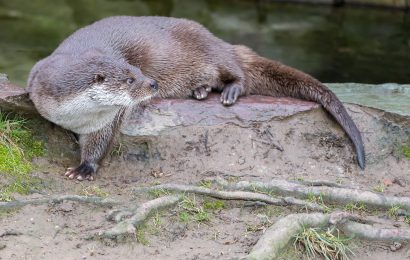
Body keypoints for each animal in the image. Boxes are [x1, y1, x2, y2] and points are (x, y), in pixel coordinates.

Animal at [27, 15, 364, 180]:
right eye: (130, 79)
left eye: (137, 70)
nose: (152, 83)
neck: (76, 116)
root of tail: (218, 39)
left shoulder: (107, 120)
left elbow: (100, 143)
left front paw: (85, 168)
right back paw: (200, 90)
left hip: (212, 51)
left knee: (237, 71)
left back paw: (228, 91)